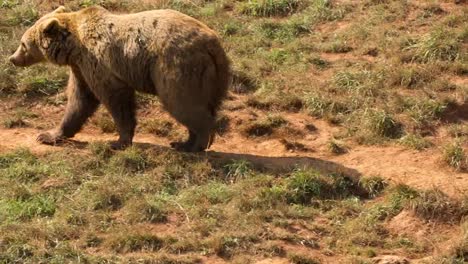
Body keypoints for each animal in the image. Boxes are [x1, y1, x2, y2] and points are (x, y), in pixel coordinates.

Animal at [8, 5, 230, 152]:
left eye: (23, 44)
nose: (12, 58)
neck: (73, 48)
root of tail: (212, 44)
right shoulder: (81, 69)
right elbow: (79, 101)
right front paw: (49, 135)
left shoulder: (99, 62)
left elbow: (115, 99)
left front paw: (118, 141)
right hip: (214, 77)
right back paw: (183, 142)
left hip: (176, 67)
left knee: (182, 103)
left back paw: (197, 144)